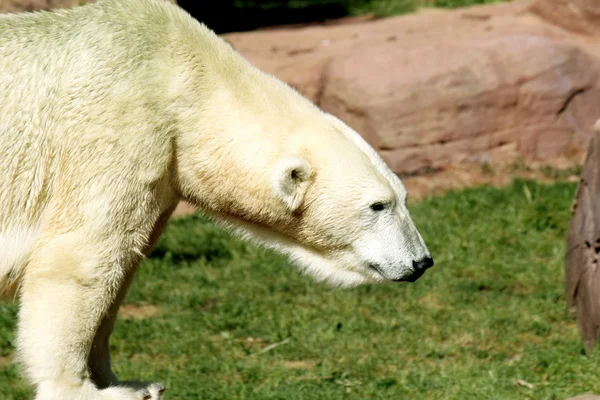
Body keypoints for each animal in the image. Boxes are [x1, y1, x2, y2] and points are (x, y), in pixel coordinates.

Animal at [0, 0, 432, 400]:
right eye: (377, 206)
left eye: (403, 197)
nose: (421, 261)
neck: (178, 71)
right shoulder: (117, 125)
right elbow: (82, 254)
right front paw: (88, 389)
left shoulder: (163, 167)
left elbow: (122, 265)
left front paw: (128, 381)